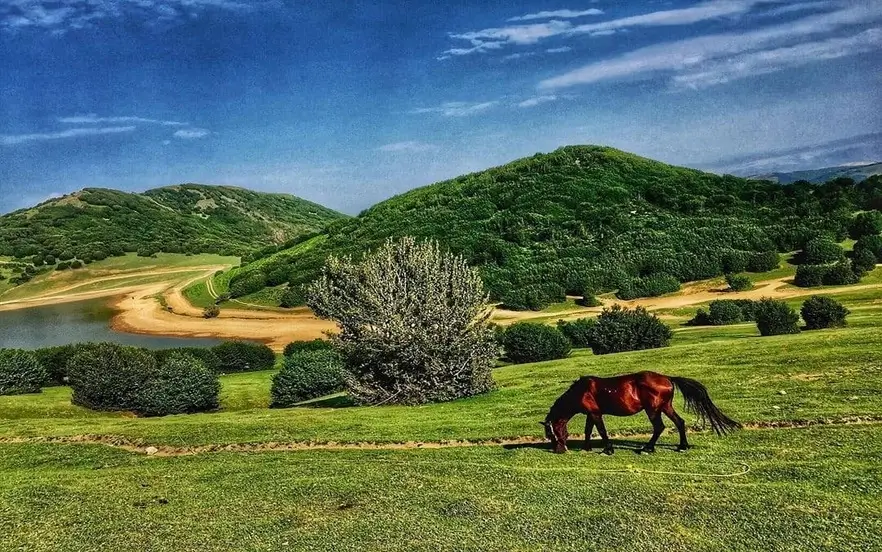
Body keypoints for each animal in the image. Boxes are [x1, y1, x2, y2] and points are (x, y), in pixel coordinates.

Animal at [540, 370, 740, 452]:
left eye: (550, 434)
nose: (559, 450)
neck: (581, 391)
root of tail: (667, 378)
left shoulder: (596, 414)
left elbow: (602, 431)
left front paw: (608, 449)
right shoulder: (592, 413)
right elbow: (588, 430)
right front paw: (587, 448)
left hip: (653, 410)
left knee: (659, 428)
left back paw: (648, 448)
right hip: (665, 407)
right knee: (679, 422)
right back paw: (682, 446)